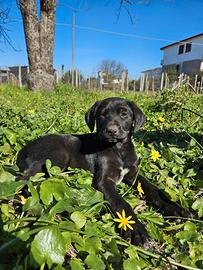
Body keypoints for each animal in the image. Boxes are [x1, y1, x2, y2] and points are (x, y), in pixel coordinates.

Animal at [15, 97, 190, 245]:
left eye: (124, 114)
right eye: (102, 115)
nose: (111, 130)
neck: (118, 149)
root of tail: (23, 149)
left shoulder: (134, 175)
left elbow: (152, 188)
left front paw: (175, 209)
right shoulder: (104, 181)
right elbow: (121, 202)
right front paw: (136, 230)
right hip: (58, 155)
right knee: (23, 179)